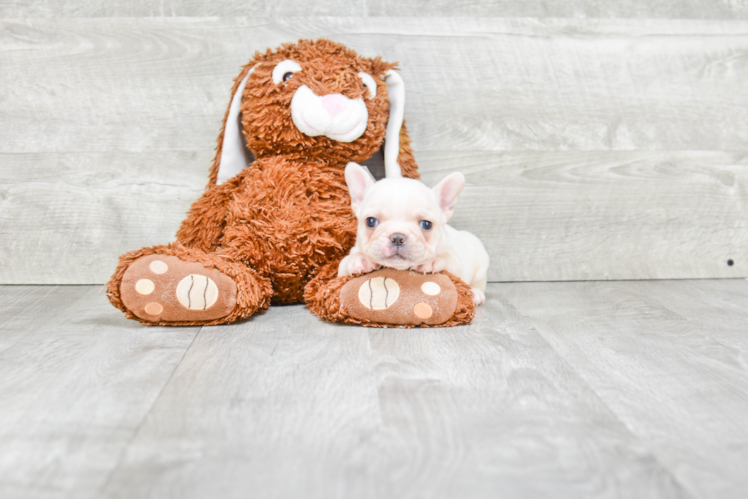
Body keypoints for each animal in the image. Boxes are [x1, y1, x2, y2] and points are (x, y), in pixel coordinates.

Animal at [336, 163, 488, 304]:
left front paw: (430, 261)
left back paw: (475, 294)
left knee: (478, 283)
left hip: (481, 265)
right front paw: (360, 259)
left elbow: (447, 259)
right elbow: (346, 262)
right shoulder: (342, 268)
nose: (397, 237)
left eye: (426, 224)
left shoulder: (456, 264)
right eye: (371, 221)